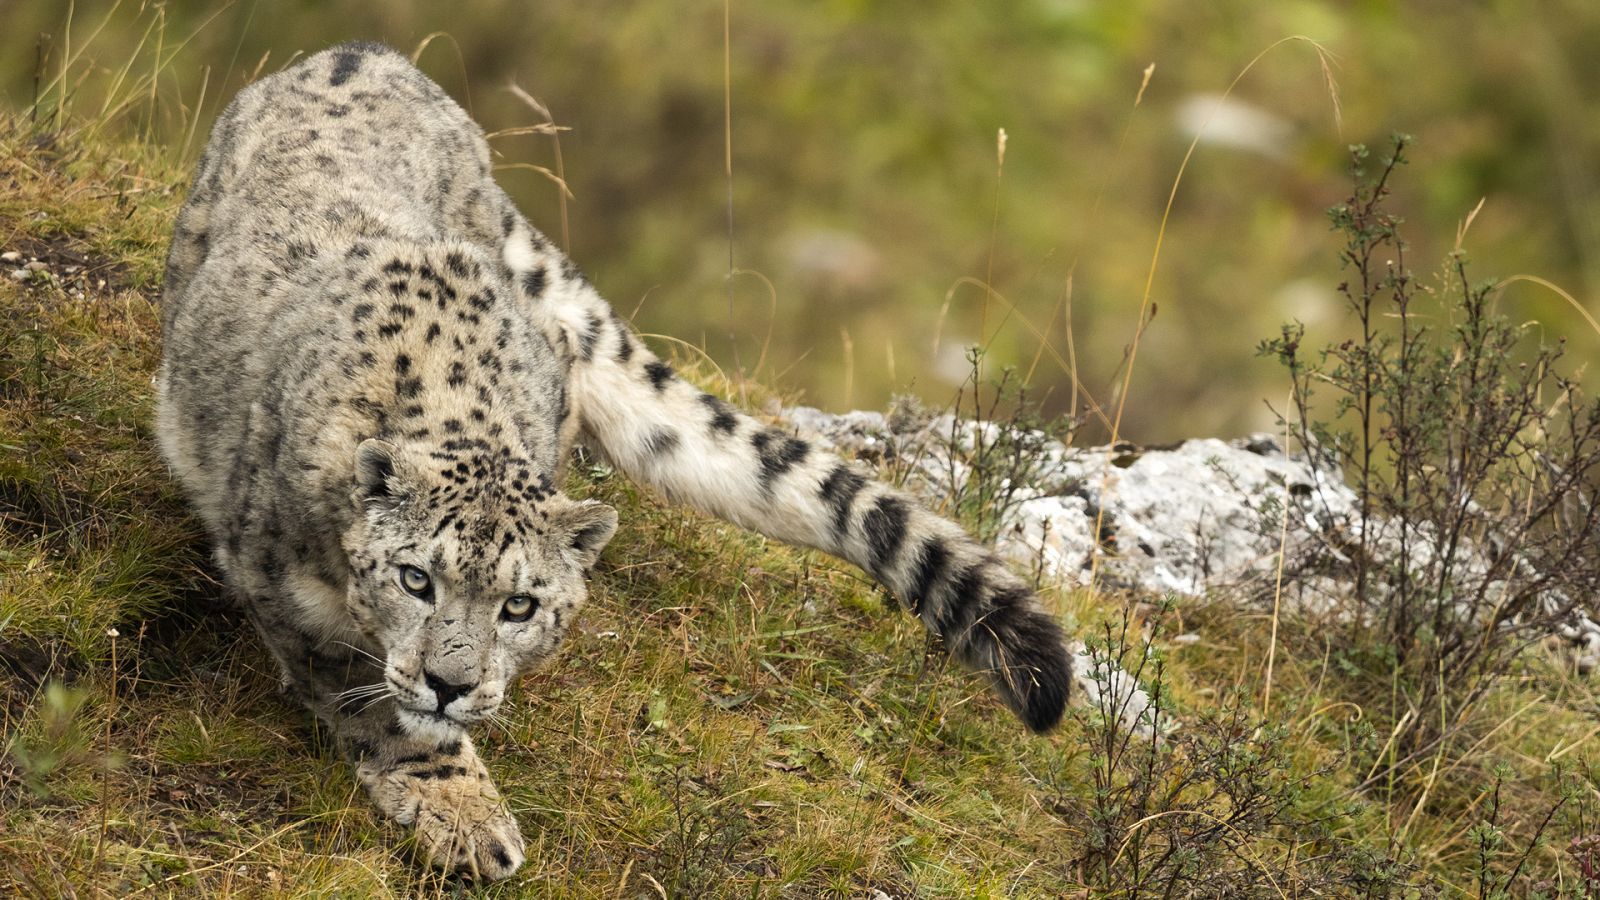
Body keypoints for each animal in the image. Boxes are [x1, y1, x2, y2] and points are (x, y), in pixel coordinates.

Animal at [156, 42, 1075, 877]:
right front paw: (467, 815)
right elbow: (378, 704)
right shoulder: (282, 587)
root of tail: (365, 52)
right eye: (416, 579)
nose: (454, 682)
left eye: (520, 605)